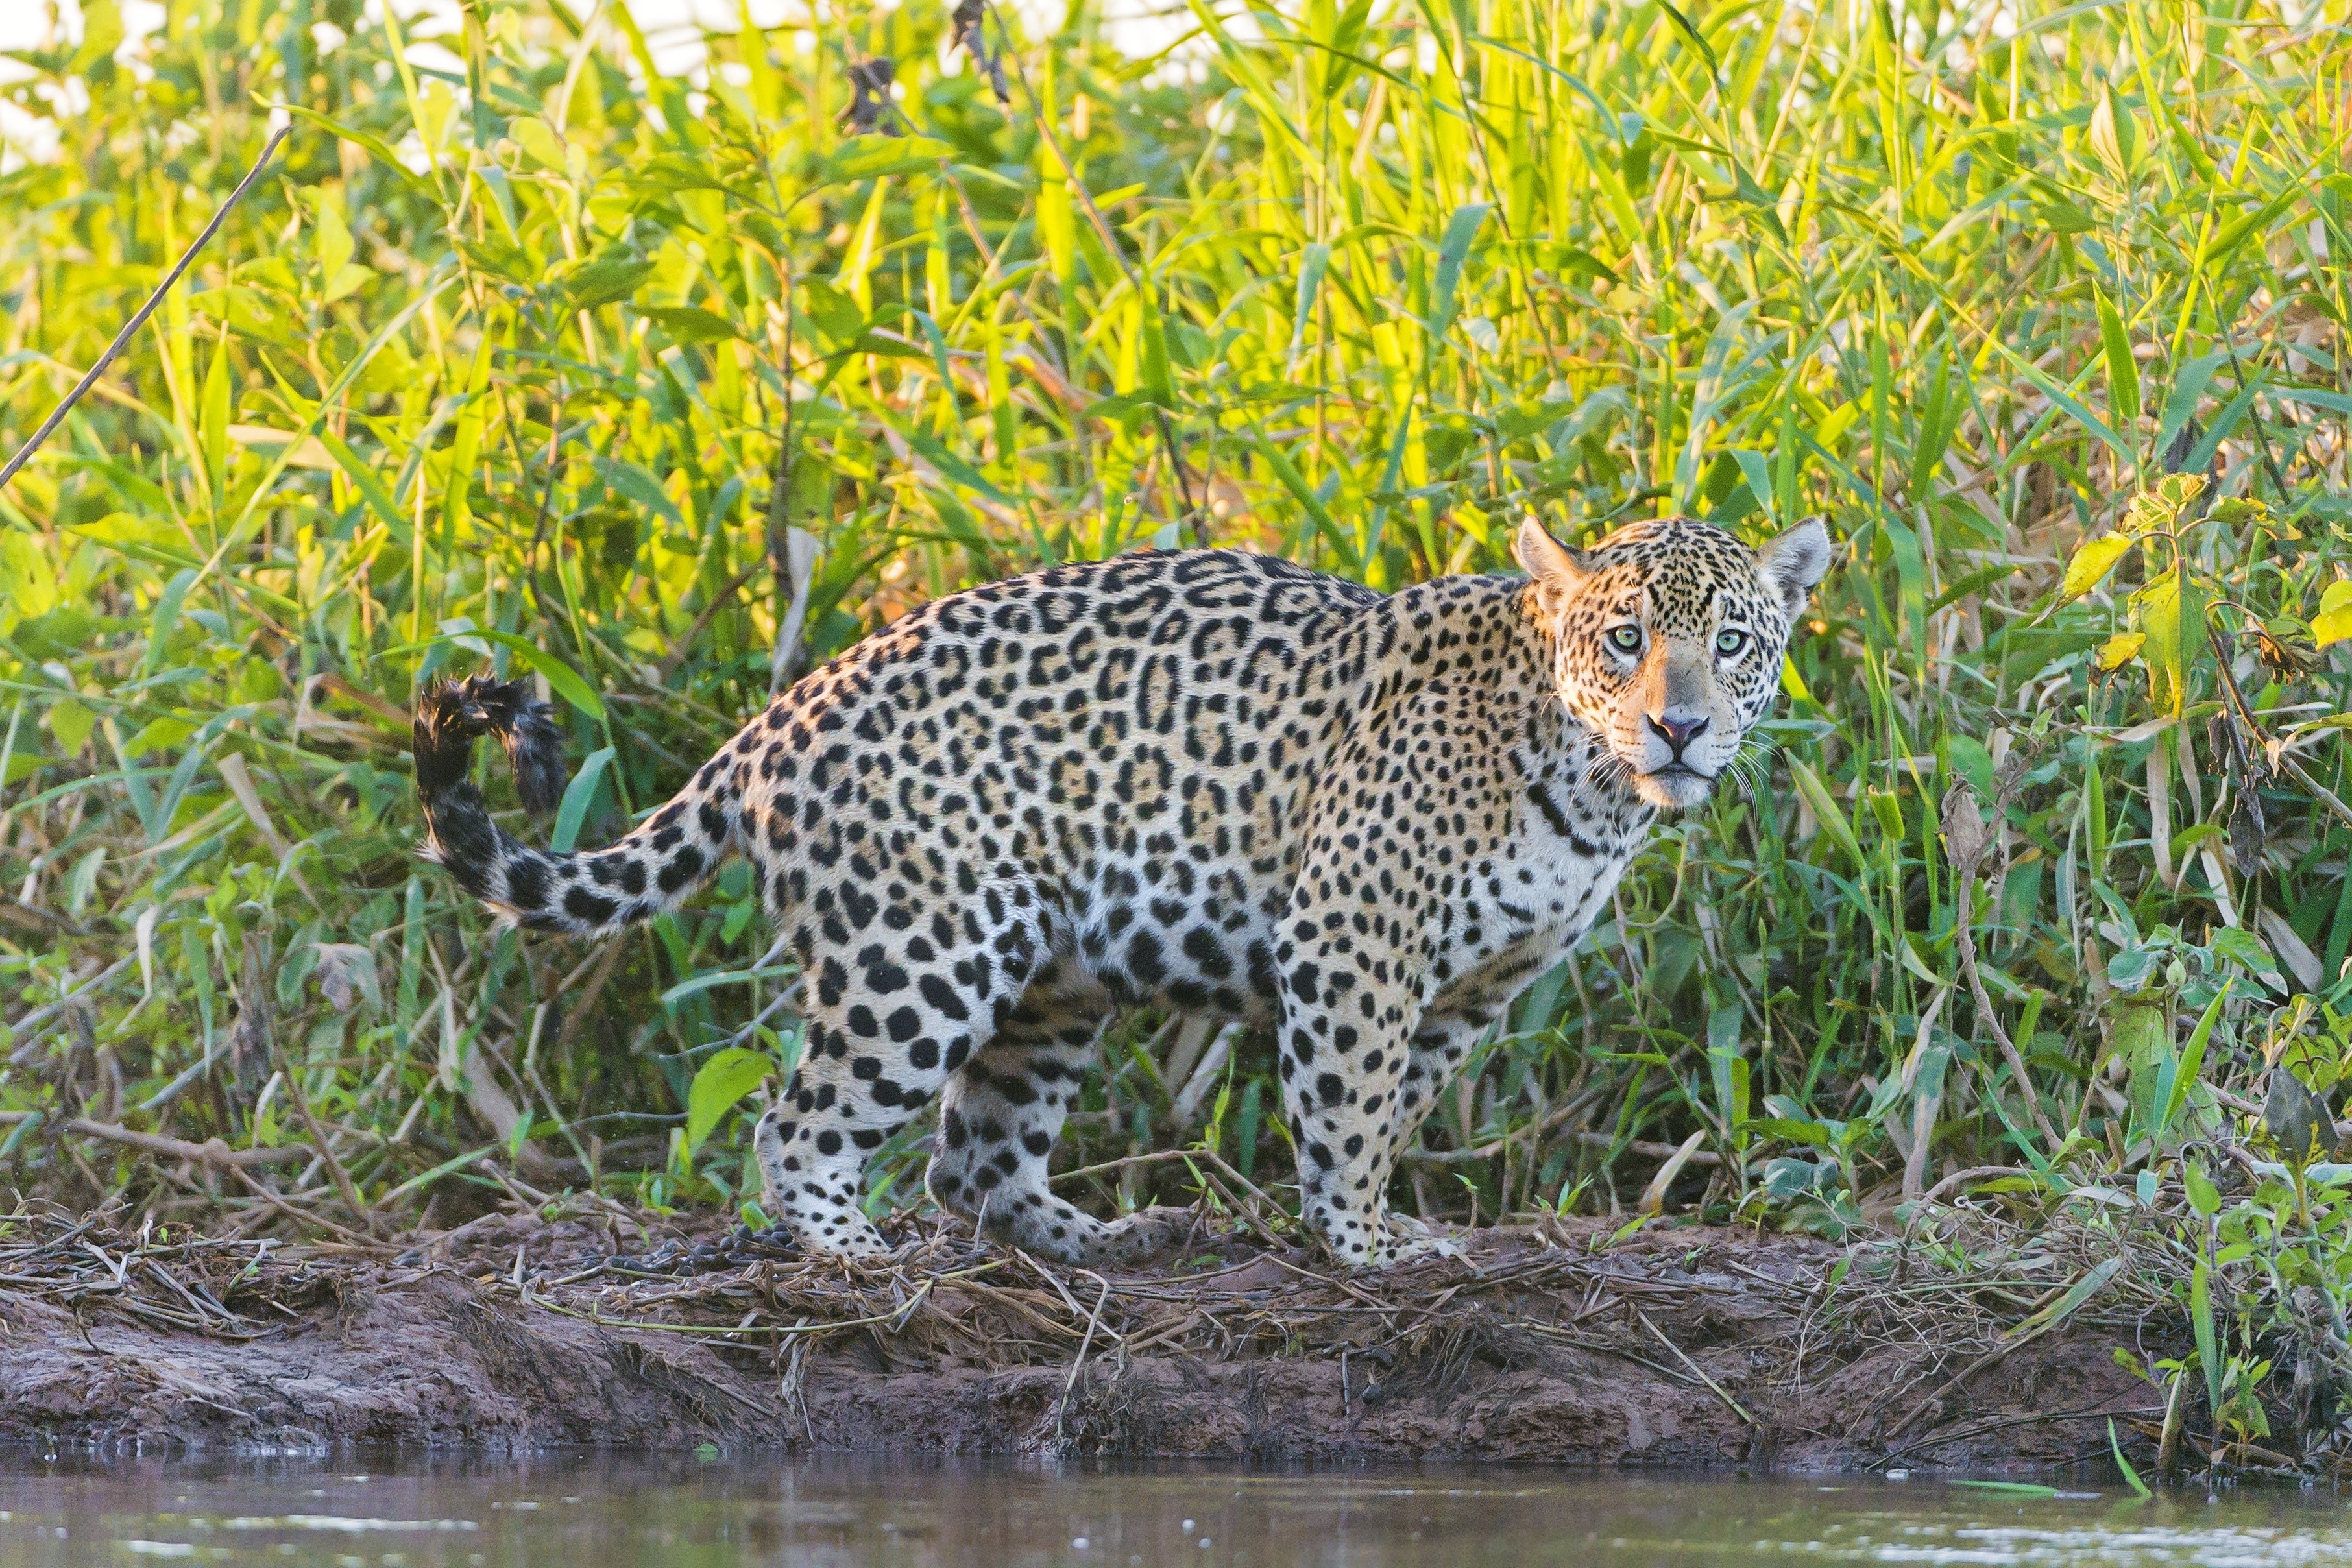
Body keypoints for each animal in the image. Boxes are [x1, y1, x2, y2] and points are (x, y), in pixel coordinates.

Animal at [412, 513, 1831, 1269]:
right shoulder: (1352, 938)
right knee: (800, 1119)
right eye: (1625, 641)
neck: (1588, 788)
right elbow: (1350, 1105)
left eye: (1734, 643)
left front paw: (1362, 1220)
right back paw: (853, 1254)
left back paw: (1102, 1237)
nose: (1682, 728)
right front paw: (1366, 1245)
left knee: (973, 1155)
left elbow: (1389, 1107)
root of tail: (783, 712)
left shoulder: (1472, 988)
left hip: (1052, 979)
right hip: (922, 953)